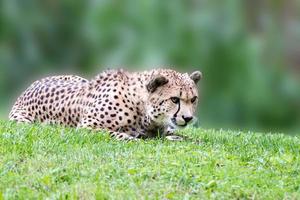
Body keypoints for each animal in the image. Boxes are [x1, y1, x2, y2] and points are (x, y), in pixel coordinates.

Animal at [8, 69, 202, 141]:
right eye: (175, 99)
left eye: (193, 99)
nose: (188, 118)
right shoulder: (86, 127)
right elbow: (115, 134)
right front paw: (133, 138)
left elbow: (177, 134)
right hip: (22, 122)